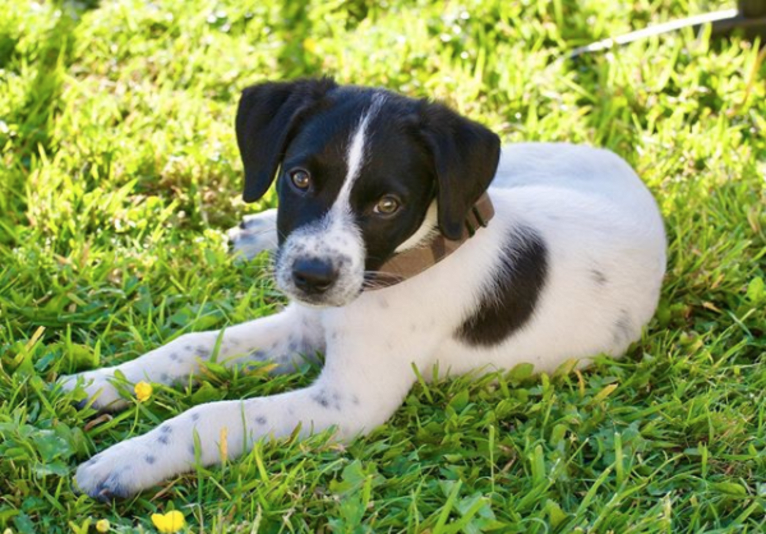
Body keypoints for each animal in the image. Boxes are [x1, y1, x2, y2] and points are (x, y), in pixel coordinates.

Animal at [63, 79, 668, 502]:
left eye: (387, 205)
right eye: (299, 178)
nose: (311, 276)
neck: (391, 270)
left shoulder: (347, 404)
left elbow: (214, 414)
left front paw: (124, 462)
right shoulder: (304, 328)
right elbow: (186, 347)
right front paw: (99, 383)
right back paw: (255, 235)